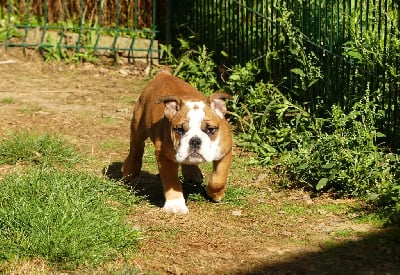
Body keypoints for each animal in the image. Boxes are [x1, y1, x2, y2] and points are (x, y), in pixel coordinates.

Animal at [123, 69, 233, 216]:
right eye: (179, 130)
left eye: (210, 129)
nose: (195, 141)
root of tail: (163, 74)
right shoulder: (164, 156)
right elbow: (172, 182)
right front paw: (175, 205)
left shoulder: (225, 151)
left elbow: (219, 178)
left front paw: (216, 194)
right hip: (138, 126)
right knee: (136, 148)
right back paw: (129, 170)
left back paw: (192, 173)